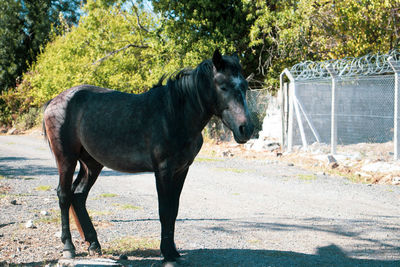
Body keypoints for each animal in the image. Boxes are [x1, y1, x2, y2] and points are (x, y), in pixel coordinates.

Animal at [43, 49, 253, 262]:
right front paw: (167, 252)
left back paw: (93, 243)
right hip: (66, 158)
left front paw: (172, 250)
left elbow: (173, 210)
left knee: (78, 195)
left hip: (91, 163)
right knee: (64, 195)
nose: (246, 129)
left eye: (244, 86)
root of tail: (55, 101)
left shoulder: (182, 169)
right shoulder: (163, 170)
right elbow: (164, 210)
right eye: (223, 86)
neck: (174, 114)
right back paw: (68, 247)